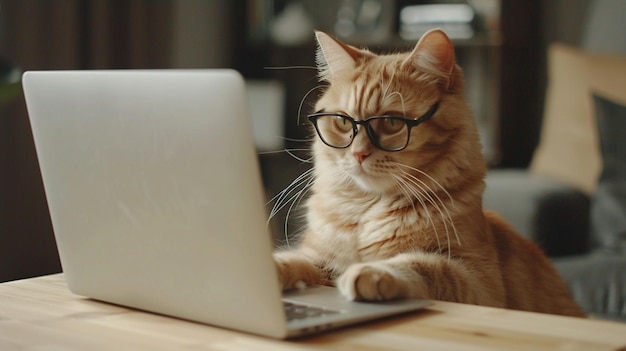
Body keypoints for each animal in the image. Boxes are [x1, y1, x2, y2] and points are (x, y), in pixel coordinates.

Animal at [270, 28, 584, 318]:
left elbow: (424, 265)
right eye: (344, 123)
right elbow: (296, 260)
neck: (368, 212)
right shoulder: (319, 259)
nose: (358, 154)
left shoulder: (479, 280)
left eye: (392, 122)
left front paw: (371, 271)